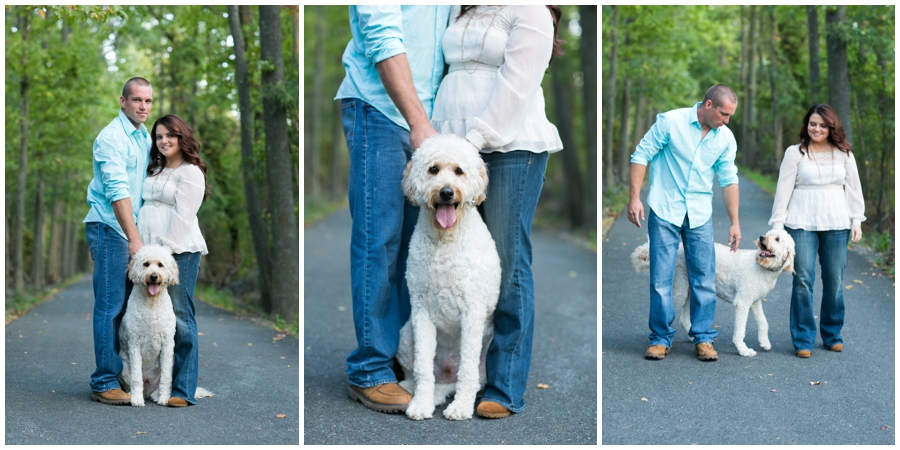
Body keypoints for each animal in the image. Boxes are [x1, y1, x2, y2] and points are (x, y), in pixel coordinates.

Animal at [118, 244, 212, 406]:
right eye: (146, 264)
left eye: (160, 265)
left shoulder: (168, 343)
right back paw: (132, 394)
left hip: (171, 361)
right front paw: (137, 399)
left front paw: (163, 397)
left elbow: (166, 377)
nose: (153, 276)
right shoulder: (134, 343)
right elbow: (136, 377)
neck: (152, 303)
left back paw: (157, 395)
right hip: (124, 366)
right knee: (133, 381)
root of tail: (148, 389)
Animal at [398, 135, 502, 420]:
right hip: (406, 335)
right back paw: (412, 390)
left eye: (459, 171)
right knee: (419, 374)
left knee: (470, 378)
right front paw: (420, 404)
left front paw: (462, 407)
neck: (444, 240)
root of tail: (446, 379)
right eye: (433, 169)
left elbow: (467, 370)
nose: (446, 192)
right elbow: (423, 367)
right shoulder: (420, 309)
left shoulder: (472, 311)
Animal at [632, 230, 796, 356]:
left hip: (690, 290)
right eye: (769, 235)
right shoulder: (742, 303)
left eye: (777, 239)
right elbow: (740, 331)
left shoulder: (754, 301)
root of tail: (678, 247)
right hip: (681, 289)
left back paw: (695, 338)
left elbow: (763, 322)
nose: (761, 238)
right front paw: (743, 350)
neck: (763, 268)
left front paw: (764, 342)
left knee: (684, 319)